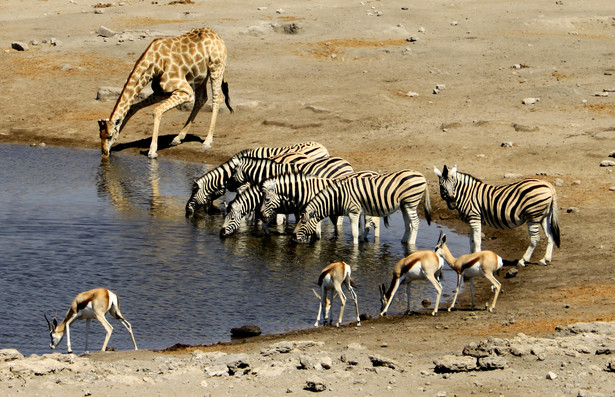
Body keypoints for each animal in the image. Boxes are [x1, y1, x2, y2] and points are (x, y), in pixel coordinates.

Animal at [98, 27, 233, 159]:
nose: (104, 153)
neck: (154, 64)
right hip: (200, 76)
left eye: (109, 136)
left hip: (215, 68)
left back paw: (207, 141)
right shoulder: (161, 92)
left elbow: (157, 111)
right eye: (100, 135)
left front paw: (152, 151)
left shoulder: (185, 91)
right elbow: (133, 107)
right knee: (202, 99)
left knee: (217, 98)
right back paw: (178, 138)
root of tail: (218, 37)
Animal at [292, 169, 428, 244]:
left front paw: (355, 248)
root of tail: (421, 175)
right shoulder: (359, 211)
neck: (339, 197)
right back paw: (404, 242)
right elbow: (361, 228)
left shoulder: (353, 211)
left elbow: (355, 232)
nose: (292, 236)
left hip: (411, 202)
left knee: (415, 223)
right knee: (408, 224)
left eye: (303, 222)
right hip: (404, 205)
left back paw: (411, 244)